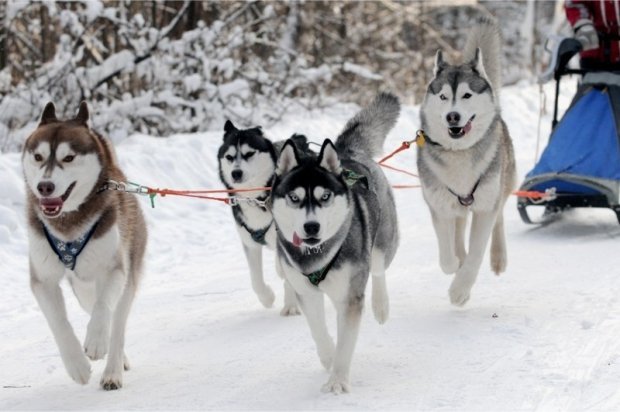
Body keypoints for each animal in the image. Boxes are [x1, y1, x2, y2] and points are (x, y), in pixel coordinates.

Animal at [21, 101, 147, 388]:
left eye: (68, 158)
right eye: (38, 157)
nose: (45, 186)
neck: (68, 224)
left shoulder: (113, 269)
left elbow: (103, 309)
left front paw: (97, 342)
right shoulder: (43, 280)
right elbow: (59, 323)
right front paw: (76, 364)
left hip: (124, 279)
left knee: (116, 322)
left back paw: (113, 369)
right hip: (82, 289)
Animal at [219, 121, 310, 316]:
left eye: (249, 154)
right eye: (229, 157)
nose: (236, 173)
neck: (256, 198)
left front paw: (290, 306)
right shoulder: (250, 244)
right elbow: (256, 280)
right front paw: (267, 297)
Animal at [272, 93, 400, 392]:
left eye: (325, 196)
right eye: (294, 198)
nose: (311, 227)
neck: (316, 254)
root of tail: (346, 153)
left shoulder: (349, 297)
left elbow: (346, 343)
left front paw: (338, 380)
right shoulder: (305, 293)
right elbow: (318, 331)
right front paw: (328, 358)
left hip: (382, 243)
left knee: (378, 269)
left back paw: (381, 305)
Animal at [418, 16, 516, 306]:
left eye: (466, 95)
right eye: (442, 97)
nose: (452, 116)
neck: (459, 153)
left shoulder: (485, 207)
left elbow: (475, 255)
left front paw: (460, 290)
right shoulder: (438, 205)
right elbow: (447, 257)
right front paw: (455, 264)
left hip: (502, 184)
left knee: (499, 218)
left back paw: (498, 257)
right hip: (456, 204)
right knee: (459, 226)